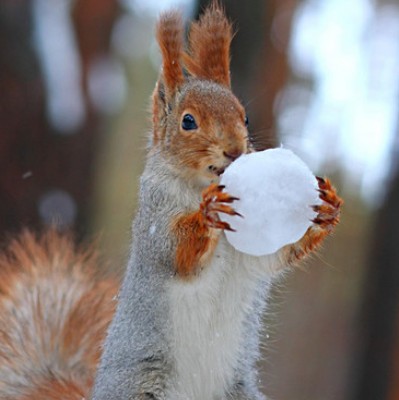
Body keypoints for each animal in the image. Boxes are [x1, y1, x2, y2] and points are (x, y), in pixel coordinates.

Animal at [0, 3, 344, 400]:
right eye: (188, 121)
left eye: (245, 116)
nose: (235, 149)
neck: (200, 185)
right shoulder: (154, 214)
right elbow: (176, 252)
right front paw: (208, 213)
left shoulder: (252, 257)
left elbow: (275, 256)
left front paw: (327, 209)